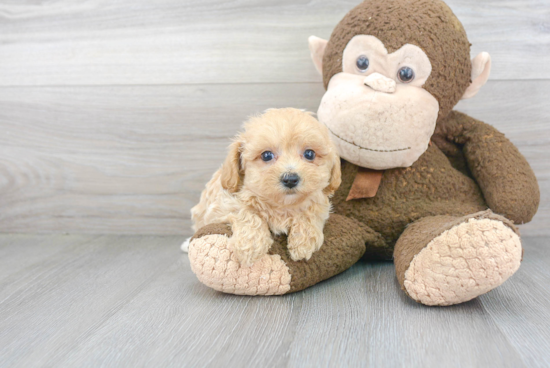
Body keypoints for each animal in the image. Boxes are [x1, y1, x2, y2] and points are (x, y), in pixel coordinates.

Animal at [185, 108, 340, 266]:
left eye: (309, 154)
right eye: (266, 156)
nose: (290, 179)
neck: (282, 205)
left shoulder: (319, 199)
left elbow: (312, 211)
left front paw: (303, 242)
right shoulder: (223, 204)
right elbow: (246, 213)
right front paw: (250, 246)